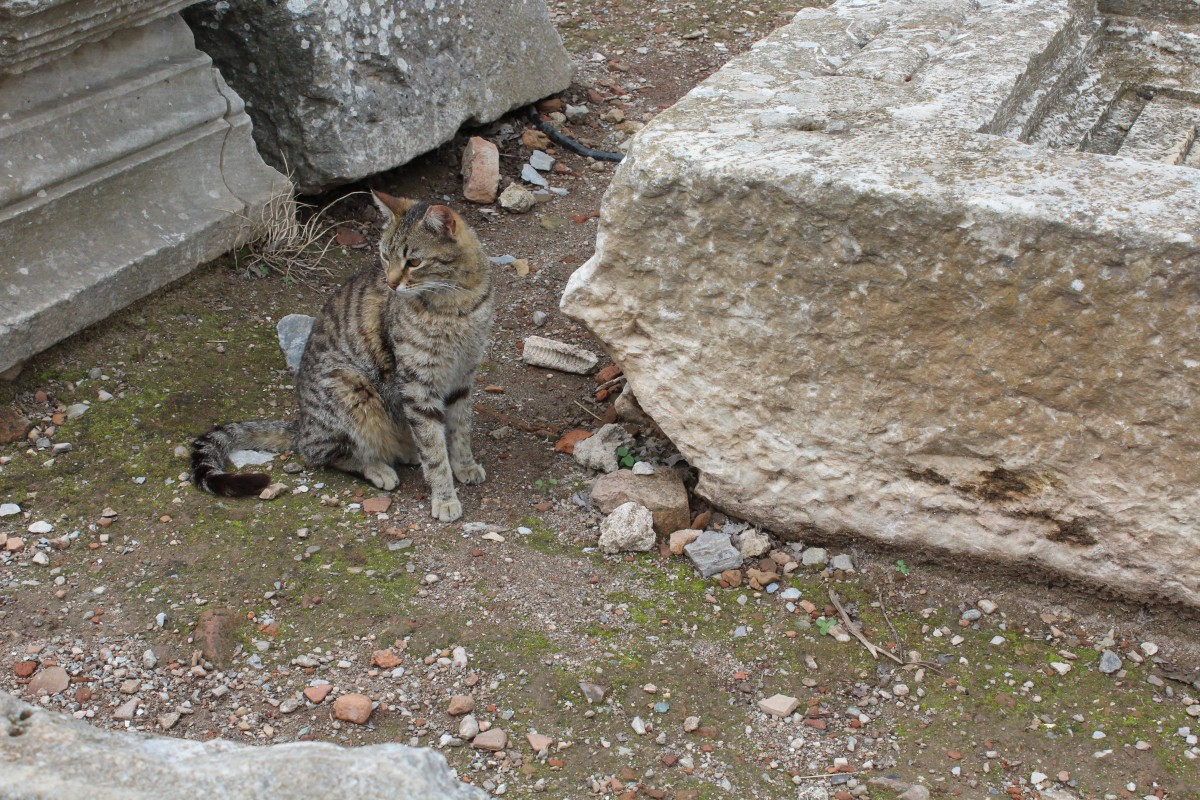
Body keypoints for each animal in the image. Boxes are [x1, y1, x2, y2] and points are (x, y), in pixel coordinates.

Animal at [194, 190, 494, 522]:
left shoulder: (463, 376)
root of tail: (301, 423)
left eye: (414, 262)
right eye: (384, 256)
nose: (391, 282)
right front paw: (444, 496)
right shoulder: (418, 385)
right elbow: (433, 448)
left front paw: (464, 464)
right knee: (322, 453)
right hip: (351, 388)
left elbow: (460, 429)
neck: (457, 301)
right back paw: (377, 467)